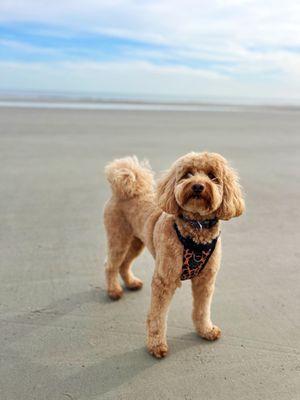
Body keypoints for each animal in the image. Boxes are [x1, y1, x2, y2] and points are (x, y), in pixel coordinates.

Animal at [103, 153, 244, 360]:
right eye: (187, 174)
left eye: (212, 176)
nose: (198, 186)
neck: (195, 227)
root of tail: (128, 188)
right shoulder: (164, 280)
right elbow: (157, 316)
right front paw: (156, 345)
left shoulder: (206, 280)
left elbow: (202, 309)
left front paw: (206, 330)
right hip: (119, 237)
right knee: (111, 264)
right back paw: (114, 291)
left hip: (137, 242)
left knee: (124, 263)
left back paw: (131, 282)